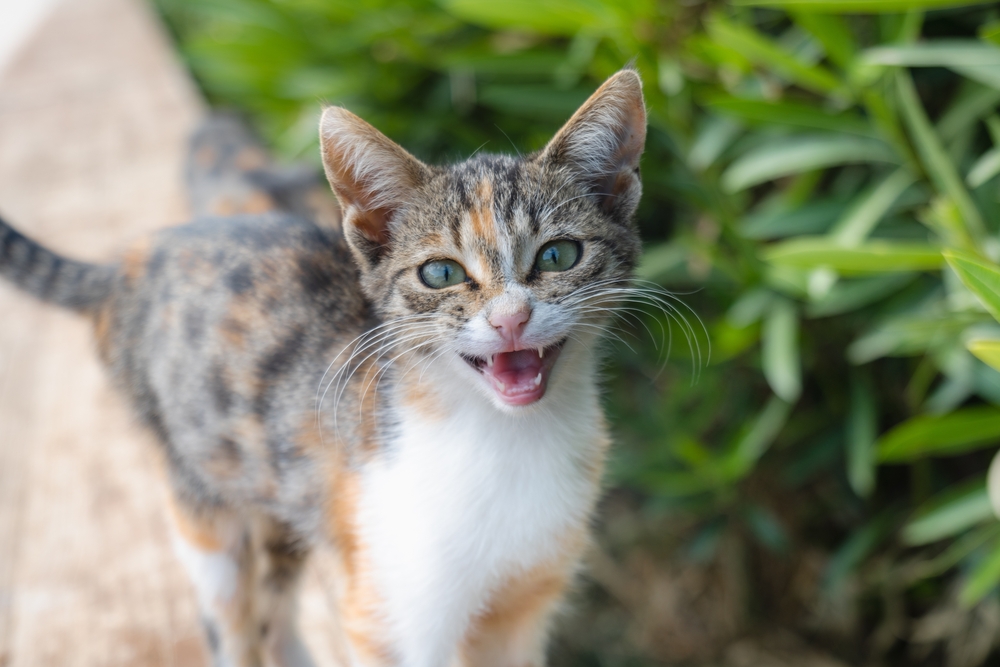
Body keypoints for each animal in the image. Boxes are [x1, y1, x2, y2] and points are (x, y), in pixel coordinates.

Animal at [0, 69, 648, 667]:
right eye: (440, 273)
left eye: (558, 255)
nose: (511, 318)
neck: (507, 440)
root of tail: (133, 258)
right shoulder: (392, 610)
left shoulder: (526, 605)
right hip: (198, 489)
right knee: (231, 616)